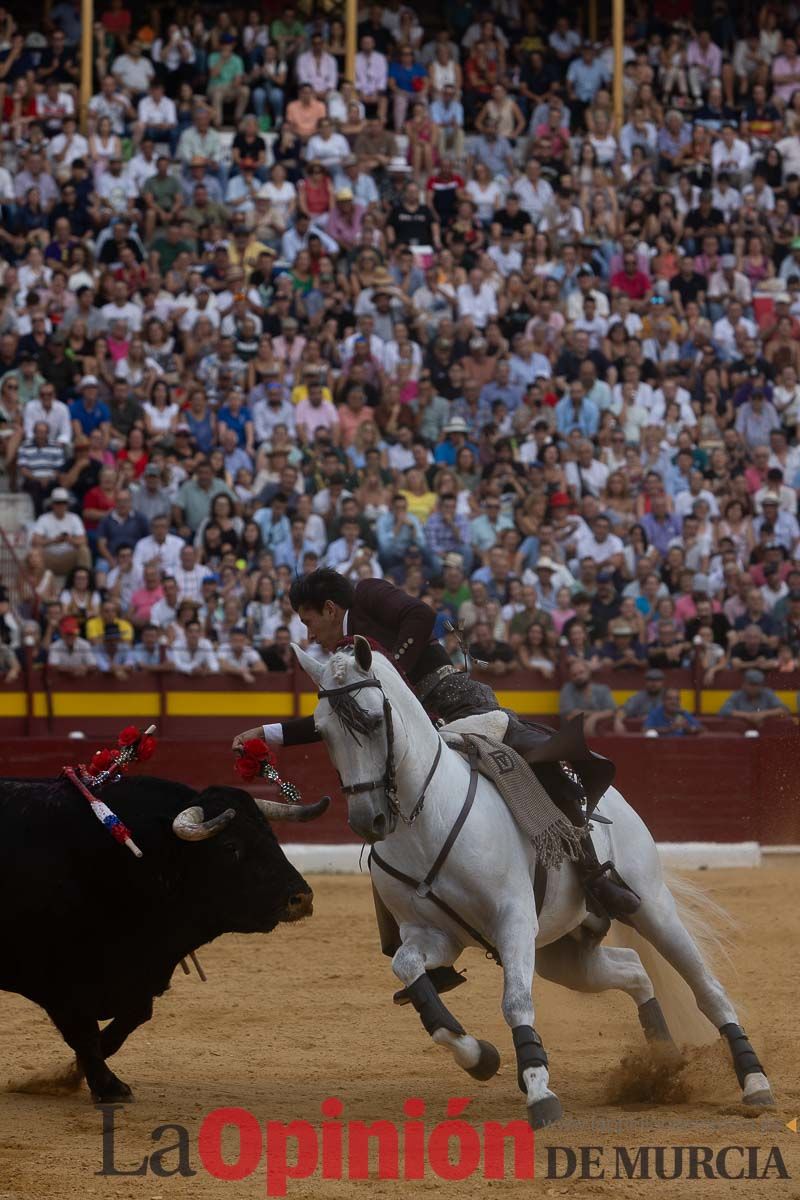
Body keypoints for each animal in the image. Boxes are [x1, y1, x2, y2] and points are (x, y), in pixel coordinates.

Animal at [0, 772, 328, 1099]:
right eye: (230, 846)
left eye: (272, 837)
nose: (302, 898)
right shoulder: (60, 982)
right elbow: (84, 1034)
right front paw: (106, 1087)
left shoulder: (138, 977)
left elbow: (127, 1023)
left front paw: (68, 1074)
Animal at [293, 638, 777, 1123]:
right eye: (322, 731)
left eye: (374, 720)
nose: (367, 820)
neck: (425, 820)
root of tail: (615, 802)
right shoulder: (432, 934)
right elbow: (408, 970)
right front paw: (480, 1057)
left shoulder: (514, 919)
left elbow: (515, 1001)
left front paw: (539, 1089)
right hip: (564, 954)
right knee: (635, 971)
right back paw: (661, 1063)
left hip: (651, 905)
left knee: (706, 987)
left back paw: (754, 1082)